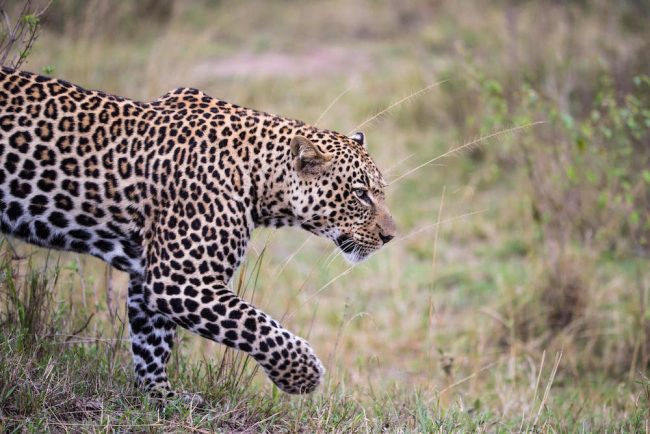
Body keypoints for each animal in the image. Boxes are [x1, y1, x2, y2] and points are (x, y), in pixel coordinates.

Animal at [0, 67, 396, 400]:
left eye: (379, 191)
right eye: (360, 193)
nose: (391, 236)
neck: (258, 178)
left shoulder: (150, 277)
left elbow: (152, 341)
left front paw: (160, 396)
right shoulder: (178, 278)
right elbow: (255, 323)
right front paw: (302, 374)